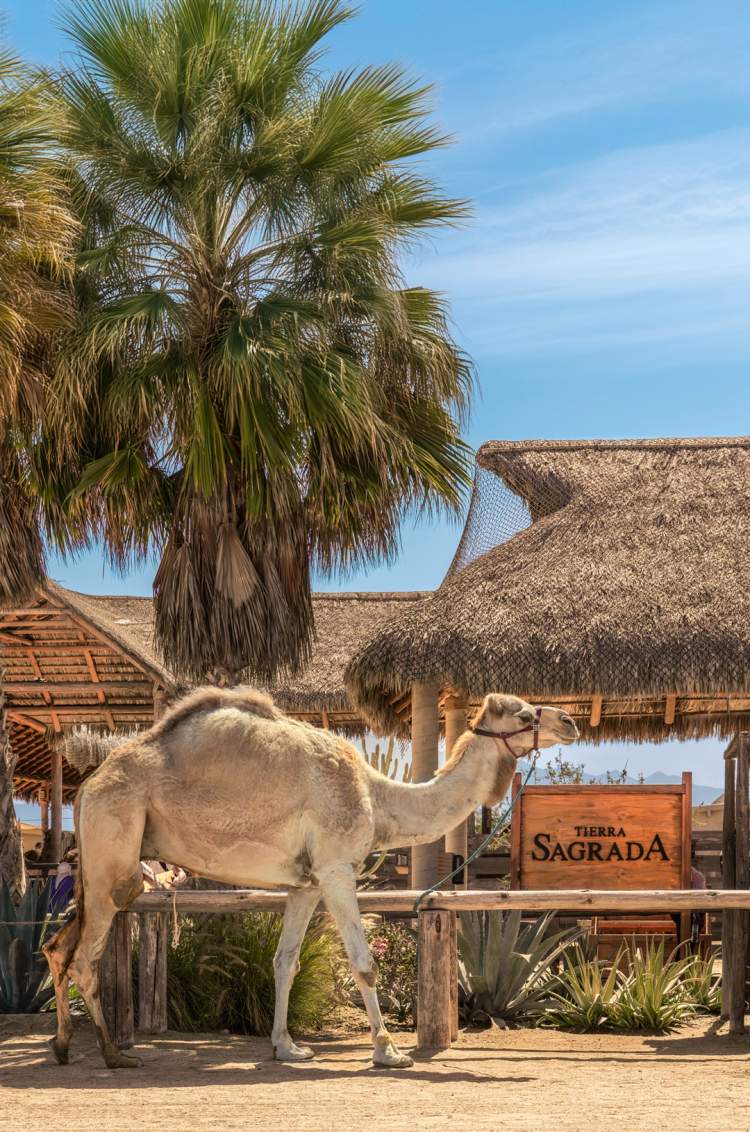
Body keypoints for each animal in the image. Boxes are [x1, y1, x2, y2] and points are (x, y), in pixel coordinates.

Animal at [44, 688, 578, 1070]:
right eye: (524, 715)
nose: (569, 721)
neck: (378, 796)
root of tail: (88, 785)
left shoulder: (304, 884)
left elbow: (286, 963)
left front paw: (287, 1047)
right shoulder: (336, 869)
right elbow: (364, 963)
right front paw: (388, 1051)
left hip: (96, 868)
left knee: (56, 947)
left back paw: (64, 1045)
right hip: (115, 845)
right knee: (85, 956)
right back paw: (113, 1054)